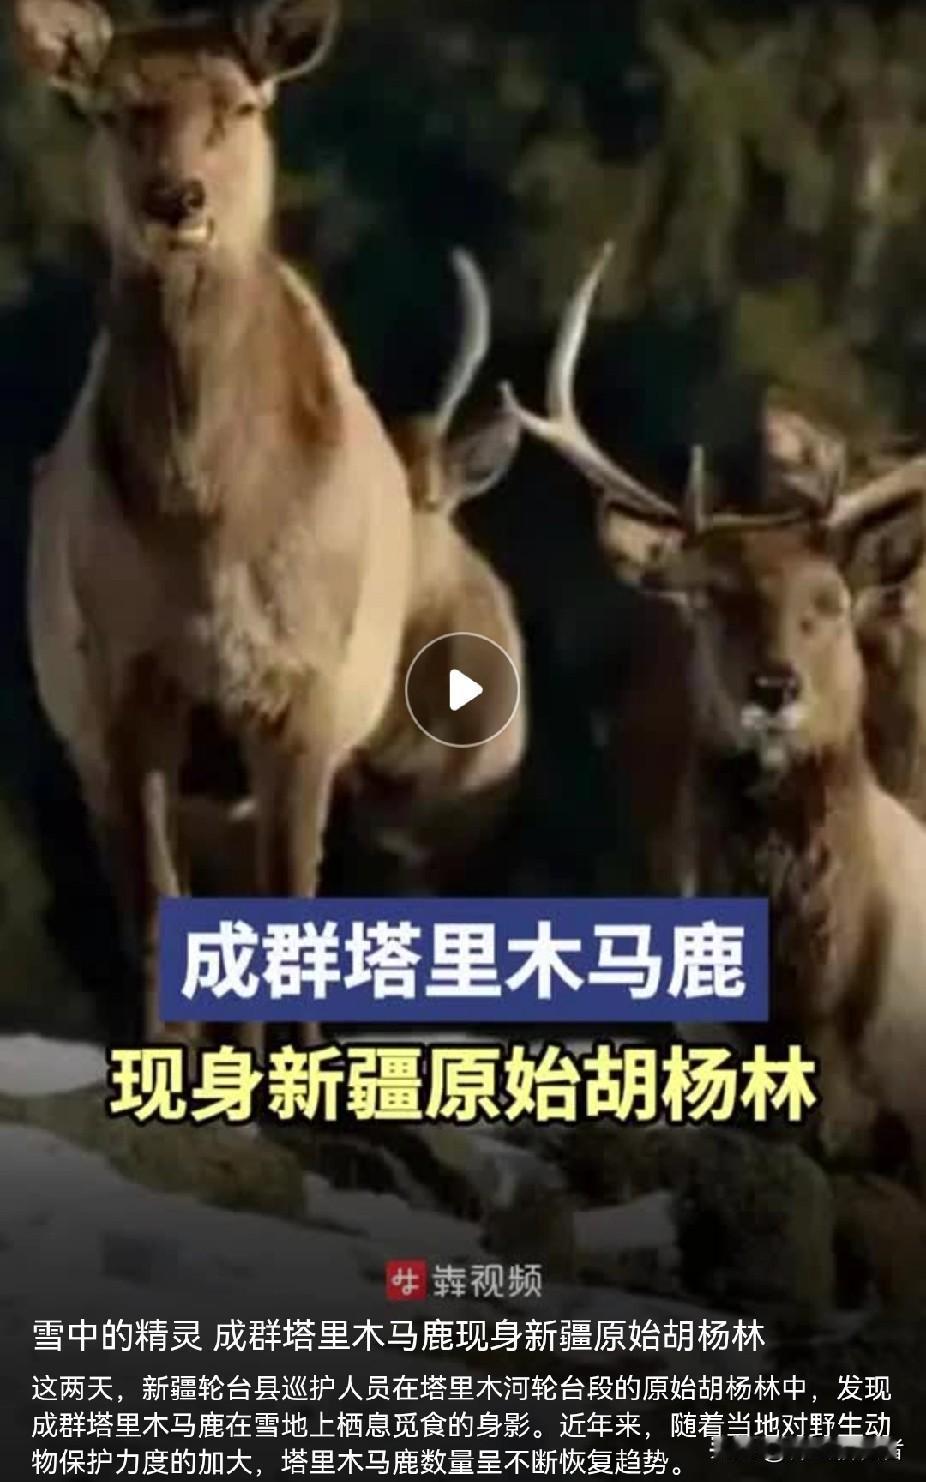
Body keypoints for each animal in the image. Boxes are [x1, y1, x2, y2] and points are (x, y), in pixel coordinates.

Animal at [16, 0, 414, 1052]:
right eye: (114, 110)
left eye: (241, 104)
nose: (176, 198)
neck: (206, 536)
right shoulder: (121, 678)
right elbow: (157, 914)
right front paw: (168, 1054)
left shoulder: (307, 678)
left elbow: (294, 905)